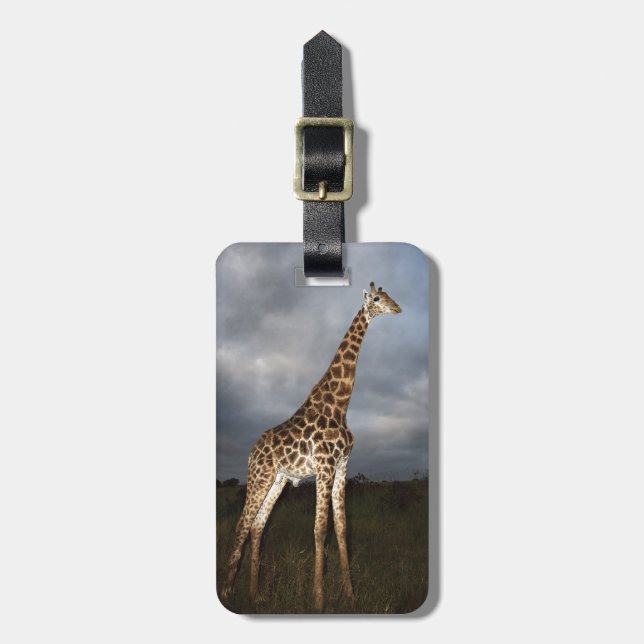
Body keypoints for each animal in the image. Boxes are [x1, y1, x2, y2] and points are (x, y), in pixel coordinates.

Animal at [220, 282, 402, 610]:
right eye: (377, 299)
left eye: (389, 296)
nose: (398, 308)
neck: (340, 404)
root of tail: (252, 451)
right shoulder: (324, 466)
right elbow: (319, 529)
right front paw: (319, 599)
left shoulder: (342, 466)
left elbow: (341, 527)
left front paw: (350, 594)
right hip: (260, 476)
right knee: (242, 524)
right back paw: (229, 590)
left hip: (278, 480)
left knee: (258, 526)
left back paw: (256, 594)